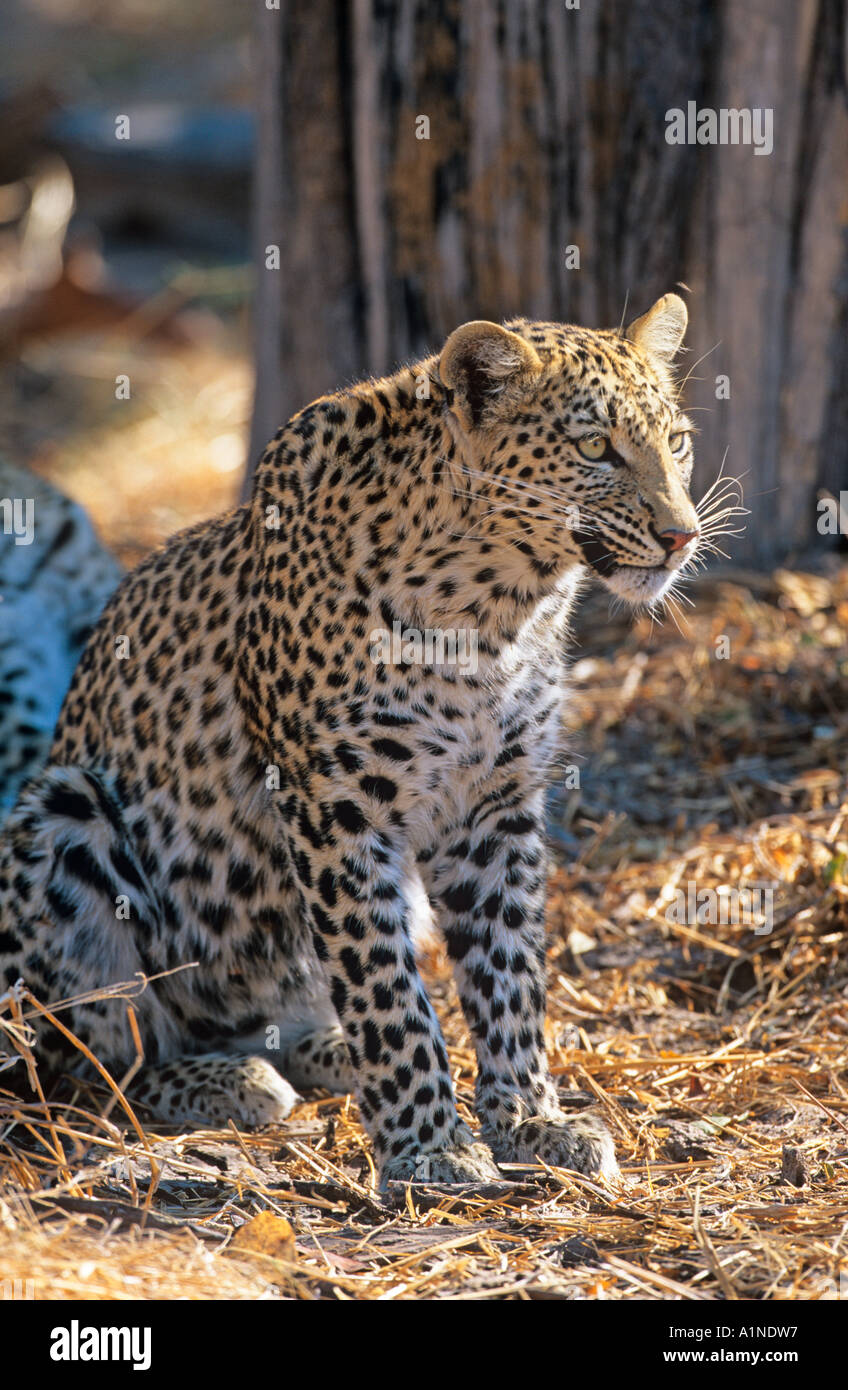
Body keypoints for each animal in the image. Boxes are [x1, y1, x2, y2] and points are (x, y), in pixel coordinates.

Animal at [0, 293, 702, 1187]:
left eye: (676, 442)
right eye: (594, 449)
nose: (682, 535)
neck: (500, 612)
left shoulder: (494, 804)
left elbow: (508, 971)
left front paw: (529, 1121)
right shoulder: (337, 808)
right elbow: (385, 987)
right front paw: (431, 1144)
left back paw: (317, 1053)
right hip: (65, 813)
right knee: (88, 1059)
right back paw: (224, 1081)